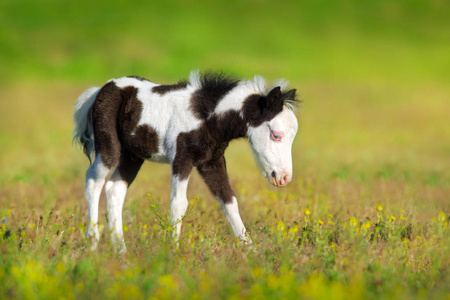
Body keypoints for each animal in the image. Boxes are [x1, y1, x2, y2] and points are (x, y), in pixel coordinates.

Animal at [74, 71, 298, 253]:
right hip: (109, 147)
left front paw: (252, 252)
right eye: (276, 135)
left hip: (132, 157)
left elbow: (229, 201)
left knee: (114, 189)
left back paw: (121, 252)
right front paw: (173, 252)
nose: (284, 177)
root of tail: (100, 90)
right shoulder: (182, 158)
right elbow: (178, 204)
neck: (206, 117)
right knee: (93, 181)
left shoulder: (211, 162)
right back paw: (92, 244)